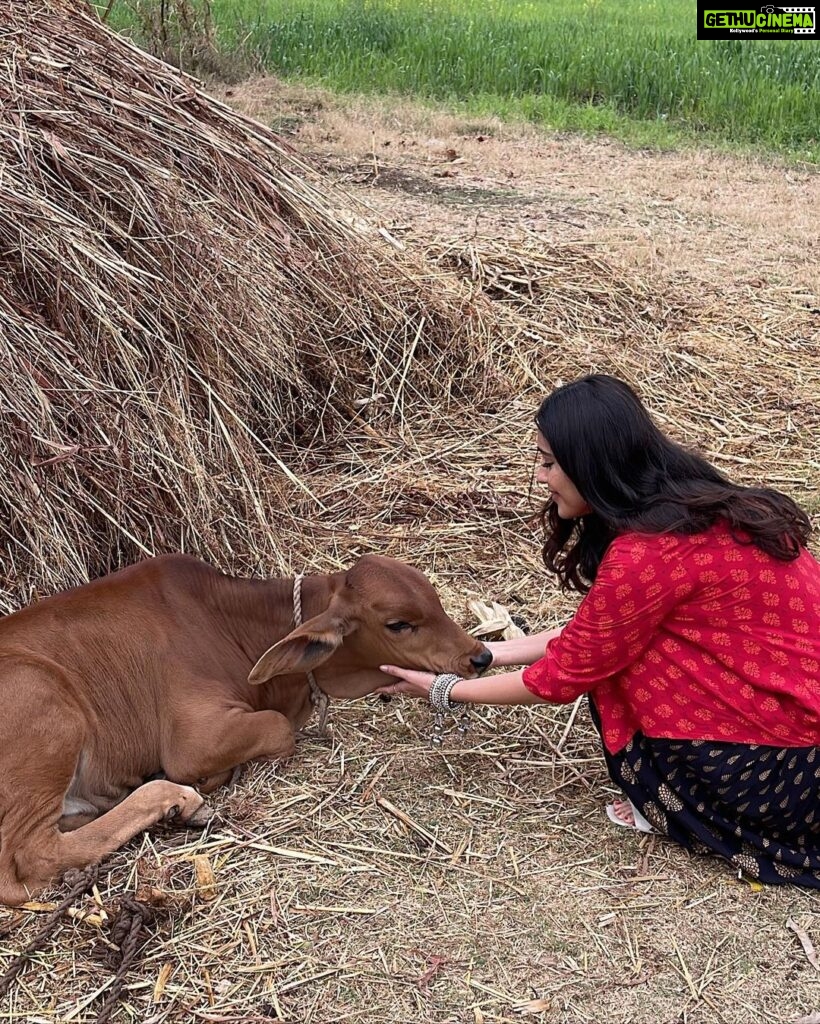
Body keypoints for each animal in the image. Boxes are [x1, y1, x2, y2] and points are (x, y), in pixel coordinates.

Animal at [0, 552, 487, 905]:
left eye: (436, 602)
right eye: (399, 624)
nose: (479, 657)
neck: (229, 621)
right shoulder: (193, 739)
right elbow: (277, 728)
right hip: (47, 704)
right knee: (31, 856)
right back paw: (175, 799)